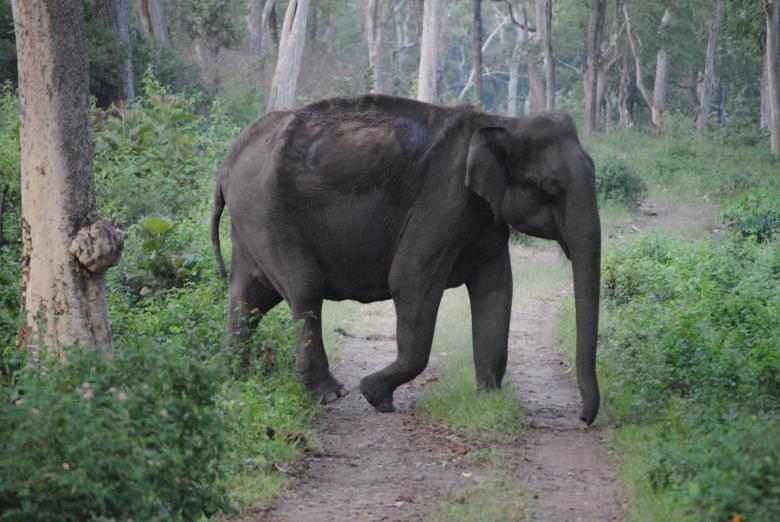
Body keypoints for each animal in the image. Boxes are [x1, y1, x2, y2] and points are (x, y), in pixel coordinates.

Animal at [211, 94, 601, 425]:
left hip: (251, 223)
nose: (583, 419)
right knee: (305, 288)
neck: (501, 121)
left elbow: (496, 287)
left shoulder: (483, 215)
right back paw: (332, 394)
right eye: (551, 188)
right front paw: (375, 395)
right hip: (267, 214)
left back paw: (236, 378)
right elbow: (411, 280)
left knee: (249, 297)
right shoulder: (444, 200)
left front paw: (488, 401)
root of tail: (226, 165)